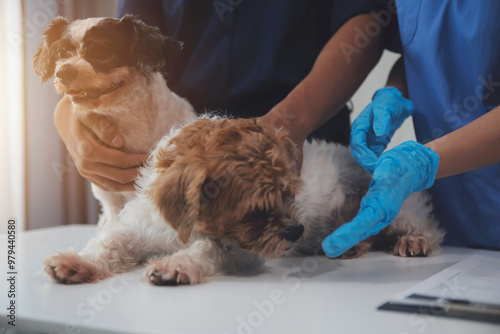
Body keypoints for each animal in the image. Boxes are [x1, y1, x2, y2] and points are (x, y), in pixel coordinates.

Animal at [41, 116, 444, 286]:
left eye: (289, 193)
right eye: (257, 209)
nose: (298, 231)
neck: (185, 227)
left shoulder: (240, 250)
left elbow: (204, 251)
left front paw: (176, 266)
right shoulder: (135, 229)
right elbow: (107, 245)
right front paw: (77, 263)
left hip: (397, 205)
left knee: (425, 227)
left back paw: (413, 241)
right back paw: (349, 247)